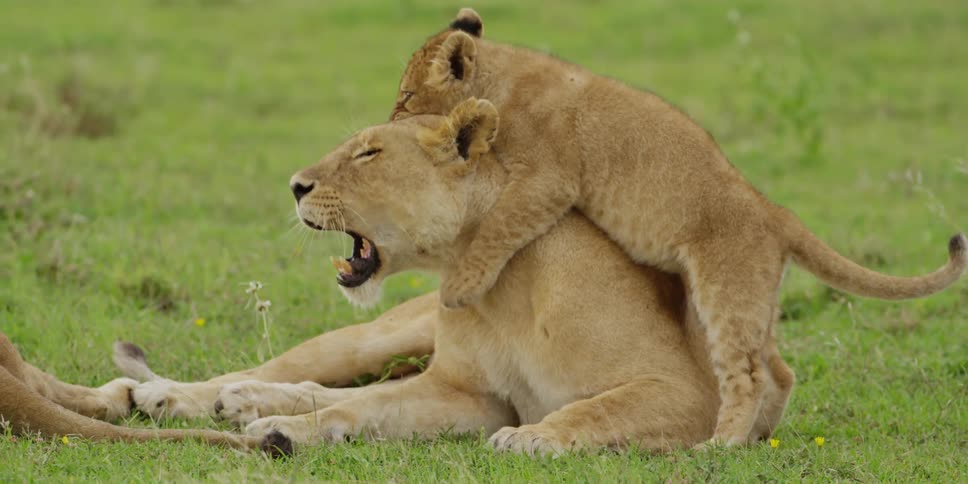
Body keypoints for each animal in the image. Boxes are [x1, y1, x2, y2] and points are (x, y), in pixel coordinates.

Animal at [388, 8, 968, 446]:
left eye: (407, 97)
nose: (389, 121)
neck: (505, 77)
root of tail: (774, 211)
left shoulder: (546, 181)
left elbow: (499, 227)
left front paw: (461, 286)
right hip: (741, 297)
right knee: (777, 370)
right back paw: (756, 435)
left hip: (723, 289)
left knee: (747, 373)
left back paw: (721, 445)